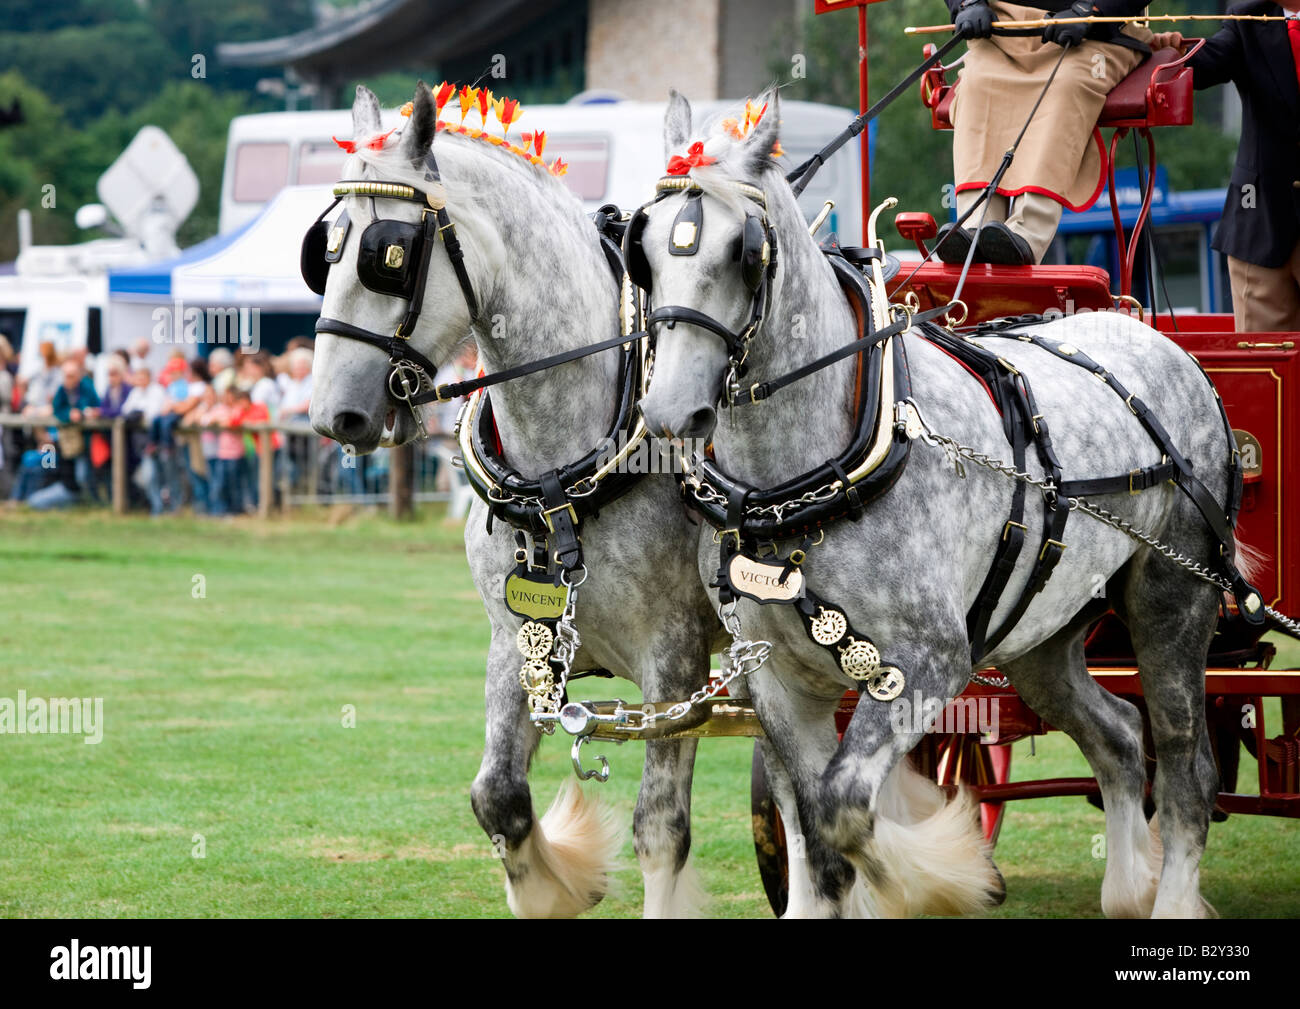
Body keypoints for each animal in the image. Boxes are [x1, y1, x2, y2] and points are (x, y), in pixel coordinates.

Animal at [639, 90, 1237, 920]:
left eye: (742, 252)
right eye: (644, 249)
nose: (669, 411)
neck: (807, 484)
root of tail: (1161, 341)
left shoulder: (926, 661)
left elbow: (845, 806)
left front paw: (935, 875)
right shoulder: (778, 679)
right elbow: (812, 822)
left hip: (1175, 601)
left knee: (1184, 762)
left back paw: (1172, 897)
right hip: (1042, 633)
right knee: (1118, 733)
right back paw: (1126, 886)